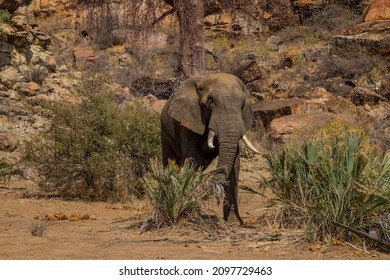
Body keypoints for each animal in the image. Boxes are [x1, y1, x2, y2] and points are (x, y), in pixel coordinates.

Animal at [159, 72, 258, 225]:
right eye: (210, 102)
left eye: (243, 104)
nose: (212, 187)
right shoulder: (189, 122)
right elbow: (194, 159)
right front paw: (191, 216)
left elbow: (234, 165)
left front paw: (233, 223)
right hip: (164, 131)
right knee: (170, 162)